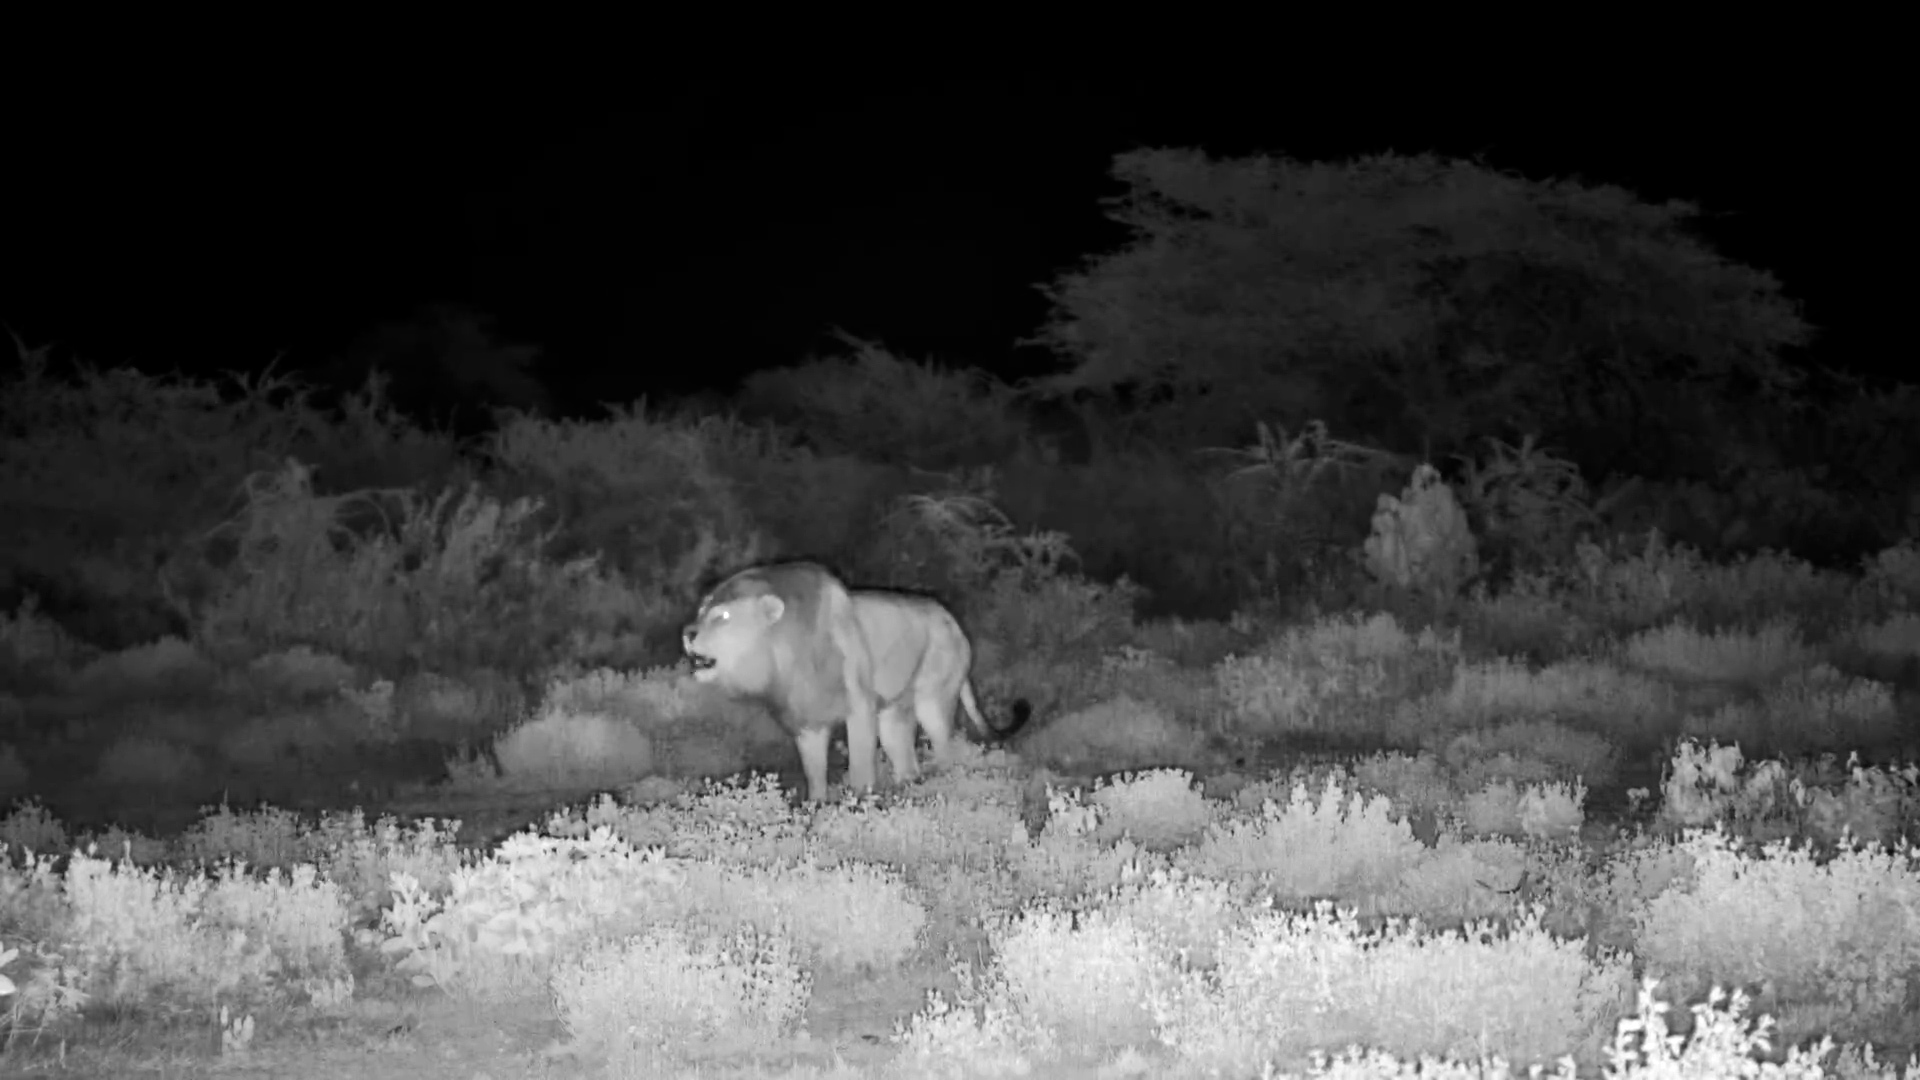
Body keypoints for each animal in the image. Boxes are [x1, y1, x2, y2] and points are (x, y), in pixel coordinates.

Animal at [681, 561, 1026, 802]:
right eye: (701, 610)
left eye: (722, 617)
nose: (687, 633)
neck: (783, 653)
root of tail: (955, 623)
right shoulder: (807, 721)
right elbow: (815, 774)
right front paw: (818, 807)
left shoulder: (859, 706)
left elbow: (860, 763)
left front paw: (859, 803)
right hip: (893, 716)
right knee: (907, 761)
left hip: (933, 700)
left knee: (945, 750)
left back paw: (944, 787)